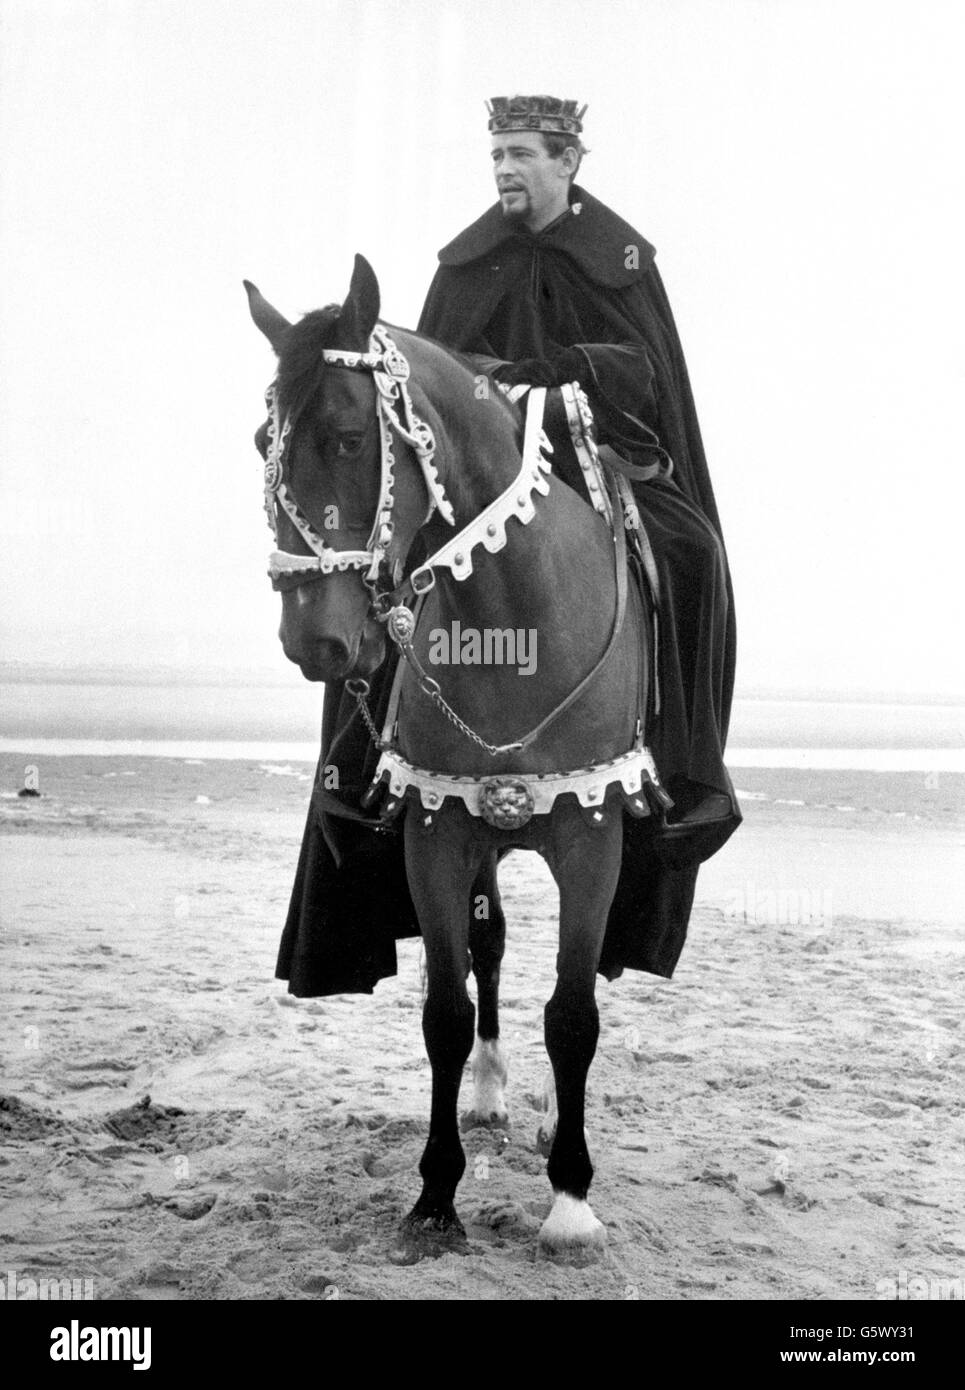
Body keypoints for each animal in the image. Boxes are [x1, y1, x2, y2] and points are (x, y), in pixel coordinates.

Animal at [246, 255, 670, 1267]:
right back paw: (487, 1092)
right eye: (260, 442)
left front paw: (570, 1199)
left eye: (348, 435)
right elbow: (443, 1008)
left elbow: (573, 1012)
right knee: (491, 950)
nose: (314, 642)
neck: (517, 621)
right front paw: (436, 1195)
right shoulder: (437, 834)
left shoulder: (591, 836)